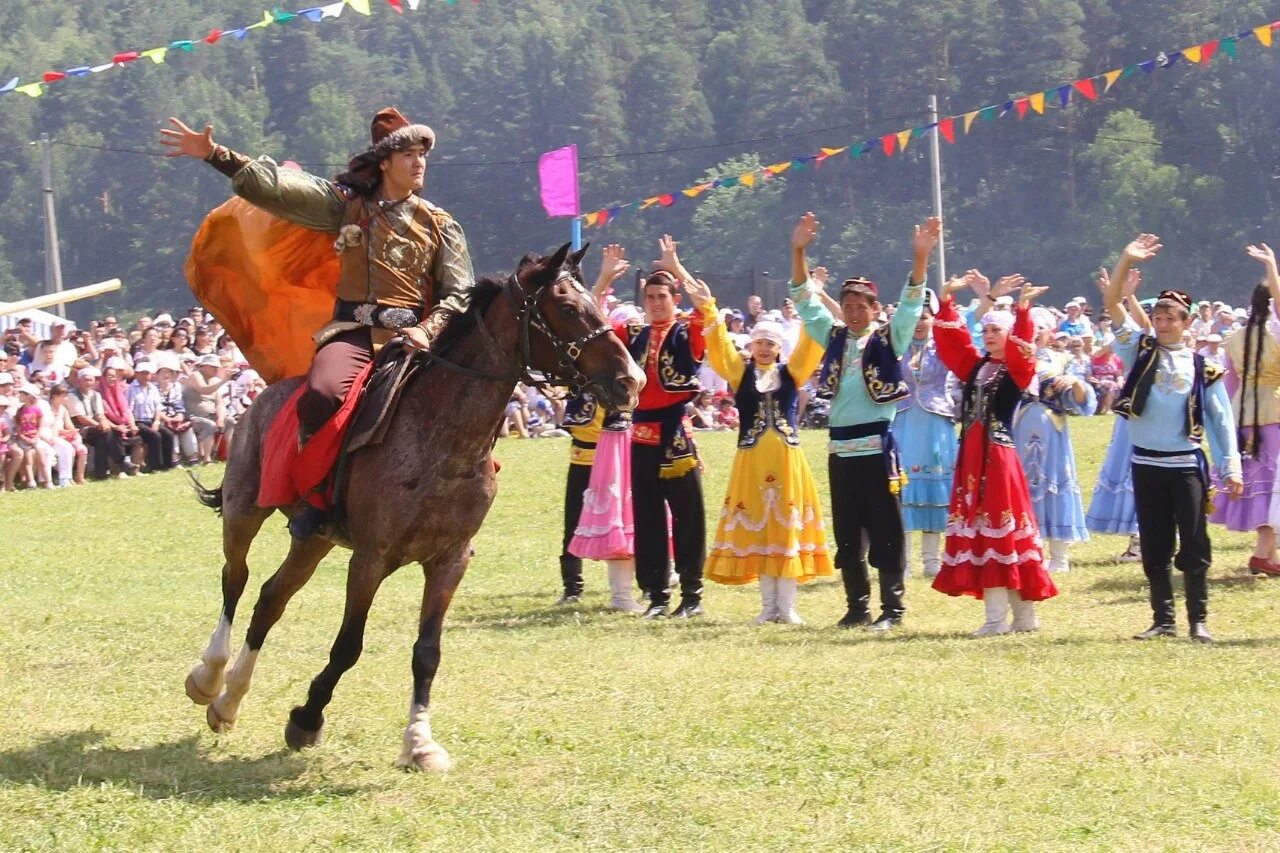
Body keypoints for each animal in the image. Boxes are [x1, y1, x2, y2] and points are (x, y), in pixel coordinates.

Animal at [181, 240, 645, 768]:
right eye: (567, 308)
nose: (631, 381)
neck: (444, 439)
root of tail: (261, 398)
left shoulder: (450, 560)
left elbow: (427, 652)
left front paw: (420, 741)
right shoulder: (371, 558)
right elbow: (348, 645)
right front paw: (307, 718)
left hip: (314, 540)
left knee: (270, 599)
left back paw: (228, 702)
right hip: (245, 508)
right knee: (236, 578)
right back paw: (209, 677)